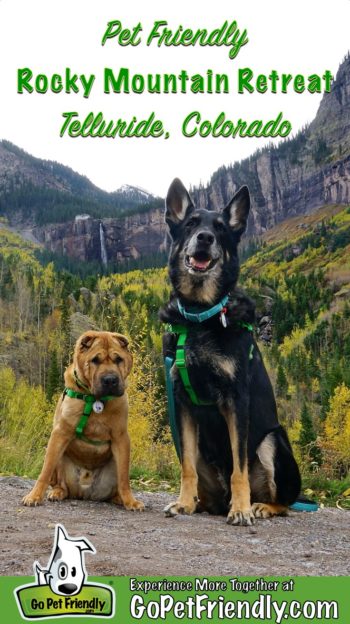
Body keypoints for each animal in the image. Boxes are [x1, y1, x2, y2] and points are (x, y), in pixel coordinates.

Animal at [22, 330, 144, 510]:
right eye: (95, 360)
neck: (95, 399)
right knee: (60, 483)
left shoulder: (121, 438)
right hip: (59, 459)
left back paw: (119, 499)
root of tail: (85, 493)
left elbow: (124, 478)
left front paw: (131, 501)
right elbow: (45, 470)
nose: (110, 380)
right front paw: (34, 496)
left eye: (118, 359)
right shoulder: (59, 434)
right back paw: (56, 493)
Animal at [161, 178, 300, 524]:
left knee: (284, 501)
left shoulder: (236, 401)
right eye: (191, 223)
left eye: (221, 229)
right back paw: (198, 502)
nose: (205, 238)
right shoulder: (182, 403)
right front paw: (183, 502)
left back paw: (258, 506)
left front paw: (240, 509)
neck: (201, 315)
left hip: (273, 440)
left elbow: (239, 468)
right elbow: (185, 466)